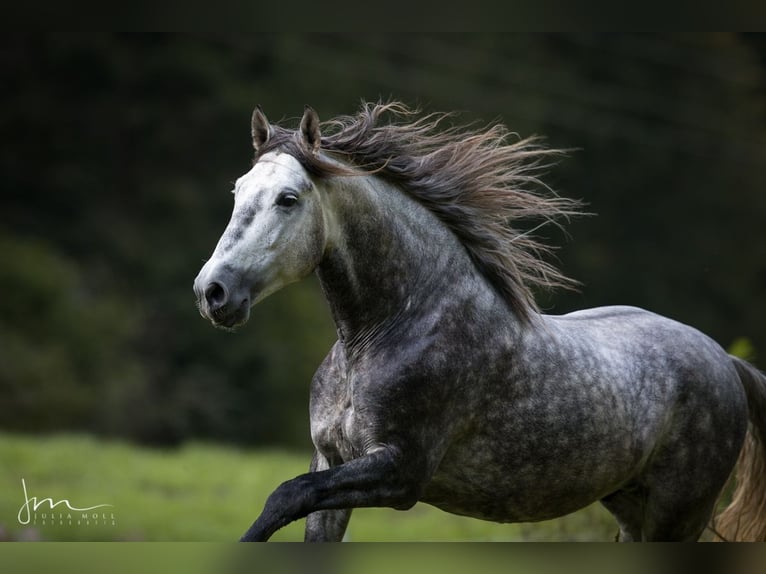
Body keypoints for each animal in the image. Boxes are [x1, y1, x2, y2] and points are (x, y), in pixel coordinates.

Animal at [195, 101, 766, 544]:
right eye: (238, 191)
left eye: (288, 199)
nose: (212, 292)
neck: (387, 332)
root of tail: (724, 360)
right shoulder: (330, 460)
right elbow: (293, 505)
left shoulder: (400, 470)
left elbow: (283, 496)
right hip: (630, 506)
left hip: (678, 512)